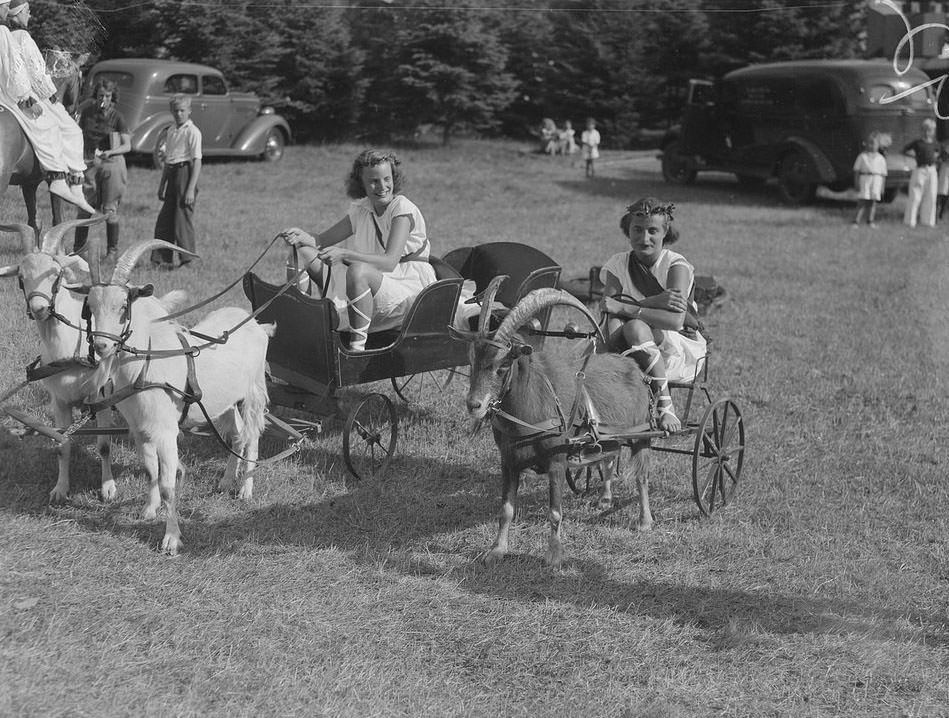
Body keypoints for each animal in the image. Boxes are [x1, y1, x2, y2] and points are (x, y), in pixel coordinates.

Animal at [0, 217, 117, 504]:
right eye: (21, 278)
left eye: (56, 274)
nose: (40, 308)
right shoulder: (59, 401)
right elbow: (62, 444)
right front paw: (60, 490)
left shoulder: (101, 396)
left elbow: (104, 445)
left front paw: (108, 488)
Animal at [78, 239, 274, 560]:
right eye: (90, 307)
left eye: (123, 307)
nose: (102, 346)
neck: (146, 363)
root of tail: (258, 325)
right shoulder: (140, 427)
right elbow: (150, 470)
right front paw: (149, 510)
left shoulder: (166, 430)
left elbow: (169, 485)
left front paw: (171, 540)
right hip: (223, 401)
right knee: (236, 434)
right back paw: (225, 481)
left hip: (254, 391)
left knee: (253, 434)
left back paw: (245, 489)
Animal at [458, 280, 652, 568]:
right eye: (472, 361)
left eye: (503, 365)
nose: (474, 404)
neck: (530, 413)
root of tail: (632, 364)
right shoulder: (508, 461)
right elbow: (506, 509)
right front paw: (496, 550)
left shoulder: (557, 461)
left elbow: (555, 512)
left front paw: (554, 556)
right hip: (609, 435)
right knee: (608, 457)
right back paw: (605, 500)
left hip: (641, 432)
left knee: (641, 474)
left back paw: (645, 521)